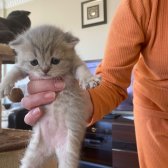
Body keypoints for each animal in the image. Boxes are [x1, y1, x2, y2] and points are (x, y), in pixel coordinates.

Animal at [0, 24, 100, 168]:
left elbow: (83, 70)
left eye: (55, 61)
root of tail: (53, 147)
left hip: (68, 154)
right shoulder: (22, 67)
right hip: (32, 154)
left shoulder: (76, 63)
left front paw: (89, 80)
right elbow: (13, 71)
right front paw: (4, 85)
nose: (45, 70)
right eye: (34, 62)